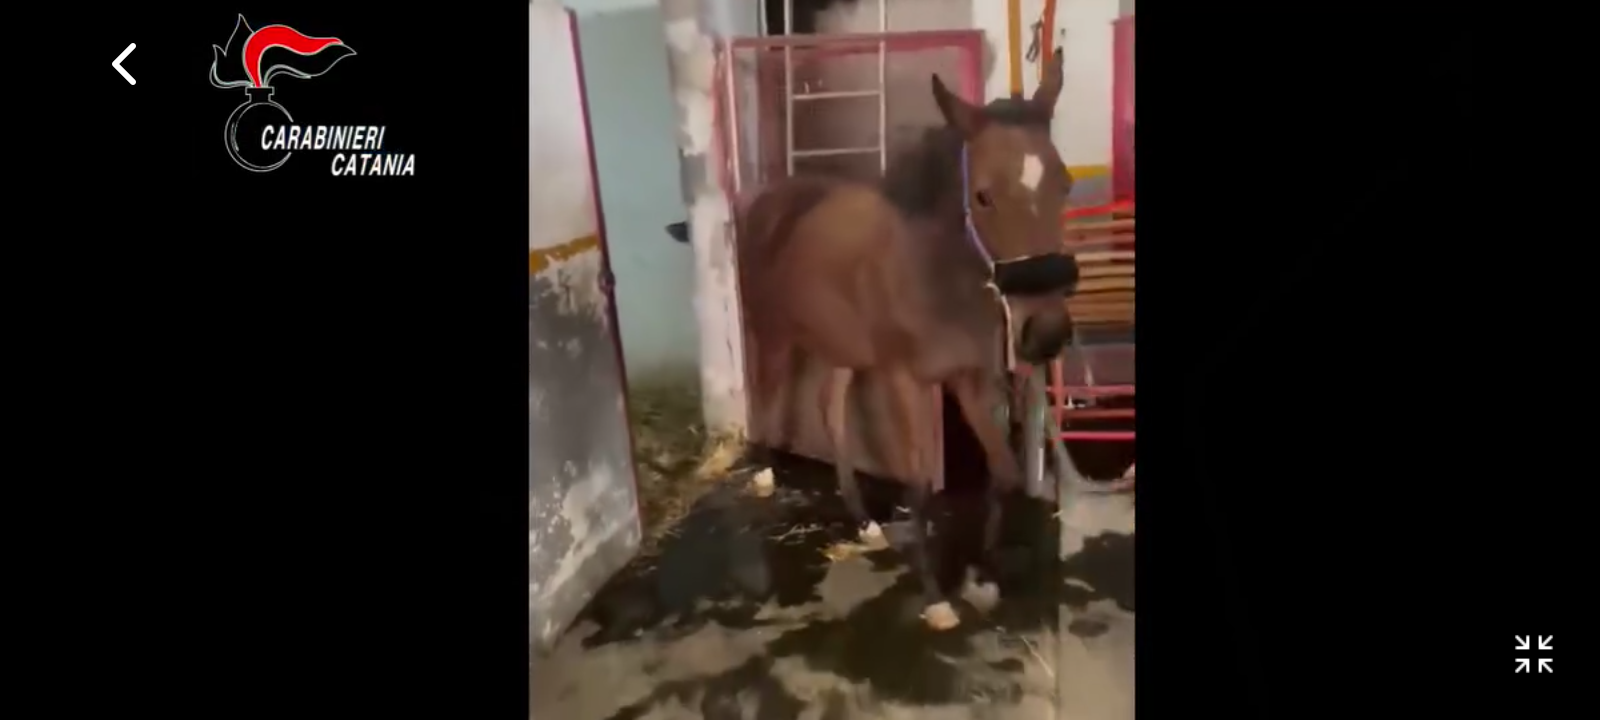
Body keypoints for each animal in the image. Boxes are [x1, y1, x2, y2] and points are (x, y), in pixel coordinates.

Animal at [737, 52, 1080, 631]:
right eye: (983, 195)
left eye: (1065, 184)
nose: (1047, 331)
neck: (934, 271)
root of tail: (766, 202)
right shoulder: (906, 382)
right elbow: (918, 488)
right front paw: (936, 598)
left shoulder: (970, 377)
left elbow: (1004, 473)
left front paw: (982, 579)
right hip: (776, 337)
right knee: (765, 399)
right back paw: (762, 475)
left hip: (840, 349)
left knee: (831, 412)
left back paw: (863, 522)